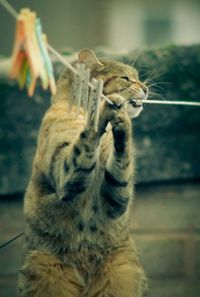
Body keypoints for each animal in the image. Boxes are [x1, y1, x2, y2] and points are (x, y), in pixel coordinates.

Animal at [17, 49, 148, 296]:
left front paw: (122, 124)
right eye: (126, 78)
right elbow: (84, 144)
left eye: (138, 77)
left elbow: (121, 159)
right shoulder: (64, 174)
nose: (145, 88)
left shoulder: (116, 195)